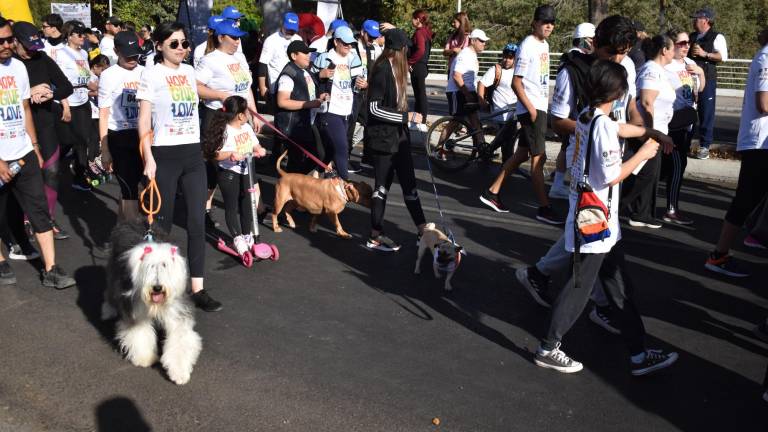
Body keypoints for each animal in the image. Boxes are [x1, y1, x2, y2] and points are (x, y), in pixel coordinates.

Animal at [103, 223, 202, 384]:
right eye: (150, 266)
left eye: (164, 265)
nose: (157, 287)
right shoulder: (135, 310)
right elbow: (140, 333)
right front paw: (145, 358)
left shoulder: (177, 312)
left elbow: (180, 339)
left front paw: (179, 372)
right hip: (114, 272)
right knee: (110, 292)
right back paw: (108, 310)